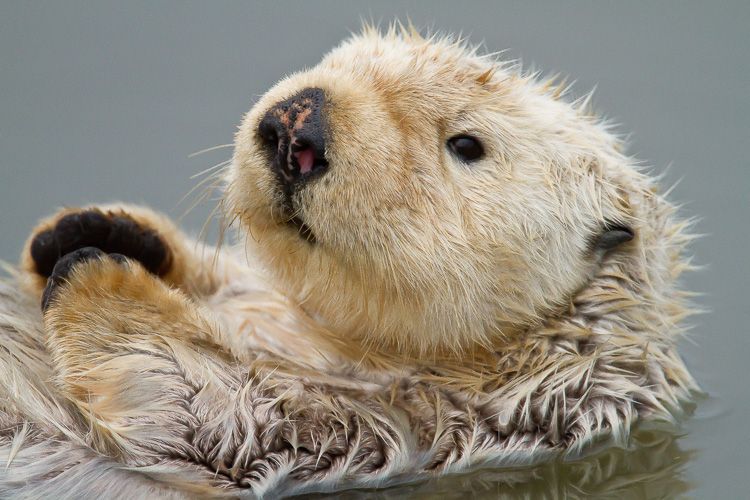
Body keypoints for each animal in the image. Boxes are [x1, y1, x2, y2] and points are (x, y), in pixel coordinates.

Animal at [0, 26, 697, 497]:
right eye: (336, 65)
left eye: (467, 144)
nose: (296, 125)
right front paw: (92, 228)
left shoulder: (383, 429)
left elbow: (204, 410)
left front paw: (99, 274)